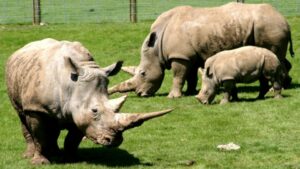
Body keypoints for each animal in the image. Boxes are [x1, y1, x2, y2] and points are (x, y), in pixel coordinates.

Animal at [5, 38, 172, 164]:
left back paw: (56, 154)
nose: (114, 141)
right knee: (22, 115)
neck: (71, 85)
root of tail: (23, 48)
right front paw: (40, 162)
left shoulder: (78, 113)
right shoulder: (36, 108)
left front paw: (72, 159)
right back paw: (29, 156)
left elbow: (73, 139)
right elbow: (40, 136)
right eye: (95, 111)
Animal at [109, 2, 292, 97]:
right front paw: (190, 92)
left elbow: (178, 75)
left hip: (269, 25)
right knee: (279, 57)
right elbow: (189, 76)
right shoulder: (188, 56)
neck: (156, 48)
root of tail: (284, 19)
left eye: (143, 73)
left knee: (275, 54)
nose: (140, 93)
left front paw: (173, 96)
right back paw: (286, 85)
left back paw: (276, 88)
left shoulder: (179, 56)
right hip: (269, 25)